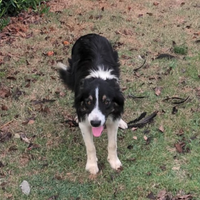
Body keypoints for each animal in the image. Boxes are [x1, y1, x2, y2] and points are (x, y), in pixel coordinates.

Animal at [58, 33, 126, 174]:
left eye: (107, 102)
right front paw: (92, 165)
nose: (95, 123)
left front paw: (114, 161)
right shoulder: (84, 123)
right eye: (88, 101)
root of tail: (89, 35)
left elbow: (113, 144)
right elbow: (90, 146)